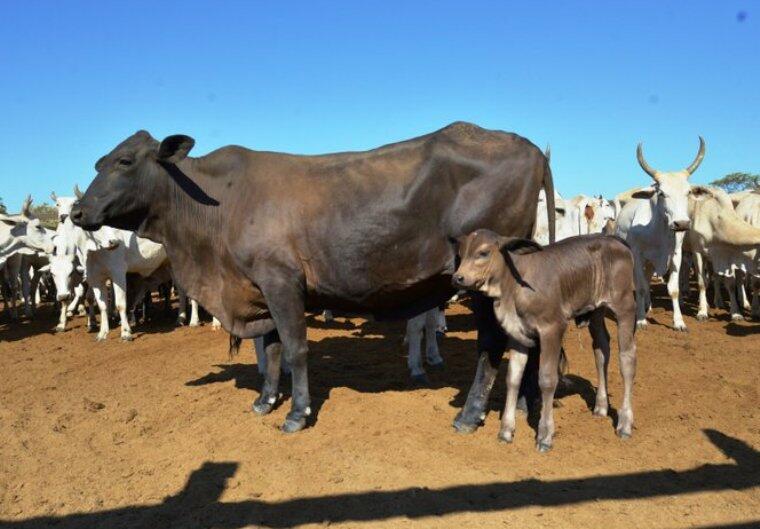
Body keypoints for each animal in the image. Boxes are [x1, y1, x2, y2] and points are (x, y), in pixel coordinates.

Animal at [454, 231, 640, 450]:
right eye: (461, 252)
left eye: (483, 253)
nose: (457, 277)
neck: (513, 288)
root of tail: (614, 239)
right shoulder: (517, 334)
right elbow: (513, 379)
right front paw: (506, 431)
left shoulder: (552, 328)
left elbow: (547, 379)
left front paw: (544, 435)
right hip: (597, 311)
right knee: (601, 349)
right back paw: (601, 407)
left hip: (625, 306)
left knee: (627, 359)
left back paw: (624, 424)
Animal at [616, 136, 708, 330]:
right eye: (661, 193)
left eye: (688, 192)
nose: (681, 223)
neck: (659, 232)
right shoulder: (638, 255)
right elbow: (640, 287)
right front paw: (640, 320)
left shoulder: (675, 255)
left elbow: (673, 289)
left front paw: (679, 322)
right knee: (641, 283)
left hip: (652, 263)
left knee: (648, 279)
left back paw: (648, 306)